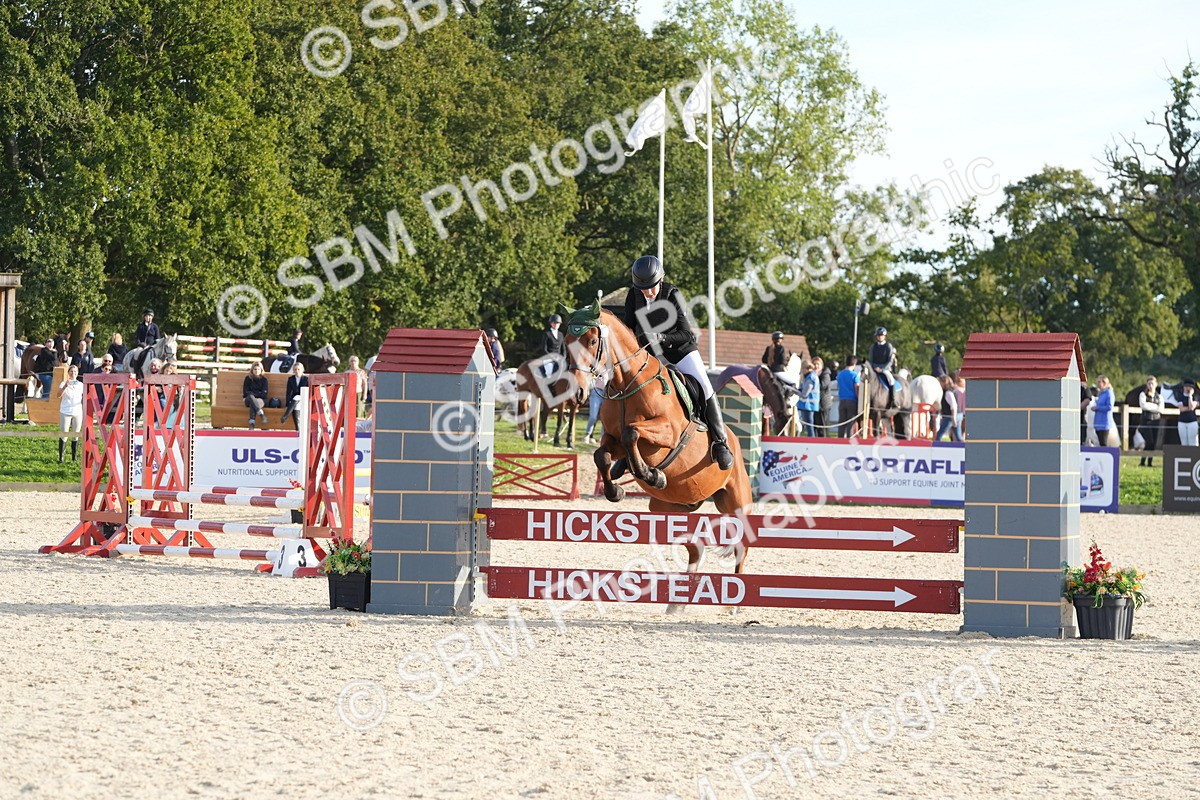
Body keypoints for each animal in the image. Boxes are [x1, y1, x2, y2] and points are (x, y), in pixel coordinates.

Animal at [560, 300, 754, 581]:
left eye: (593, 340)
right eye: (566, 342)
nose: (577, 393)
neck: (627, 383)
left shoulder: (668, 432)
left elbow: (632, 432)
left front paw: (651, 475)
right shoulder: (611, 439)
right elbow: (602, 455)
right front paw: (616, 490)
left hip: (737, 502)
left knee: (741, 549)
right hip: (670, 508)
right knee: (694, 546)